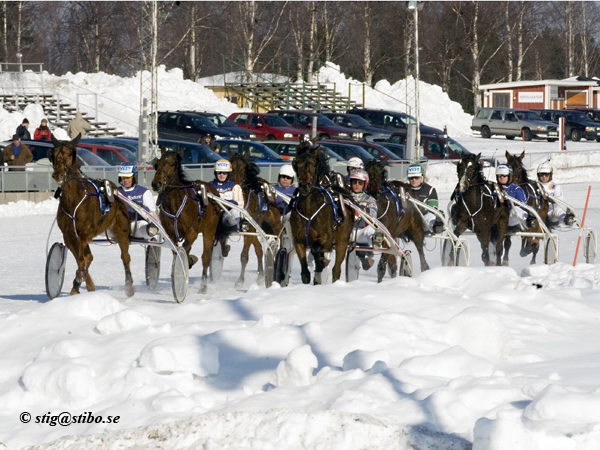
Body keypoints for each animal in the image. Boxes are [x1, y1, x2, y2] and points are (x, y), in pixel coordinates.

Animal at [48, 134, 135, 296]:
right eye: (53, 154)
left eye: (69, 153)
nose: (58, 174)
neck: (73, 199)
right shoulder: (68, 234)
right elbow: (82, 258)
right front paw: (81, 284)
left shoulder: (85, 232)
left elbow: (84, 256)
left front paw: (81, 278)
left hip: (121, 229)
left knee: (125, 257)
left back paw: (129, 286)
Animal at [151, 149, 221, 294]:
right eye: (157, 164)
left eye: (172, 164)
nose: (156, 183)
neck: (175, 203)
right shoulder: (171, 233)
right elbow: (176, 251)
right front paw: (185, 263)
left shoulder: (192, 231)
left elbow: (186, 247)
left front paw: (188, 262)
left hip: (209, 230)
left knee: (206, 258)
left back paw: (203, 287)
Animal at [229, 149, 282, 286]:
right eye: (231, 167)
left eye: (243, 167)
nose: (237, 182)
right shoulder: (246, 227)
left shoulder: (251, 227)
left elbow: (244, 255)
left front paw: (240, 280)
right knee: (258, 248)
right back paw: (260, 275)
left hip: (274, 222)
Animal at [290, 139, 354, 284]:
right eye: (298, 163)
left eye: (314, 164)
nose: (305, 185)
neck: (309, 210)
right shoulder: (298, 240)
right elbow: (305, 272)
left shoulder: (327, 239)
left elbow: (316, 249)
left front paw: (321, 262)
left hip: (342, 241)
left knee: (336, 269)